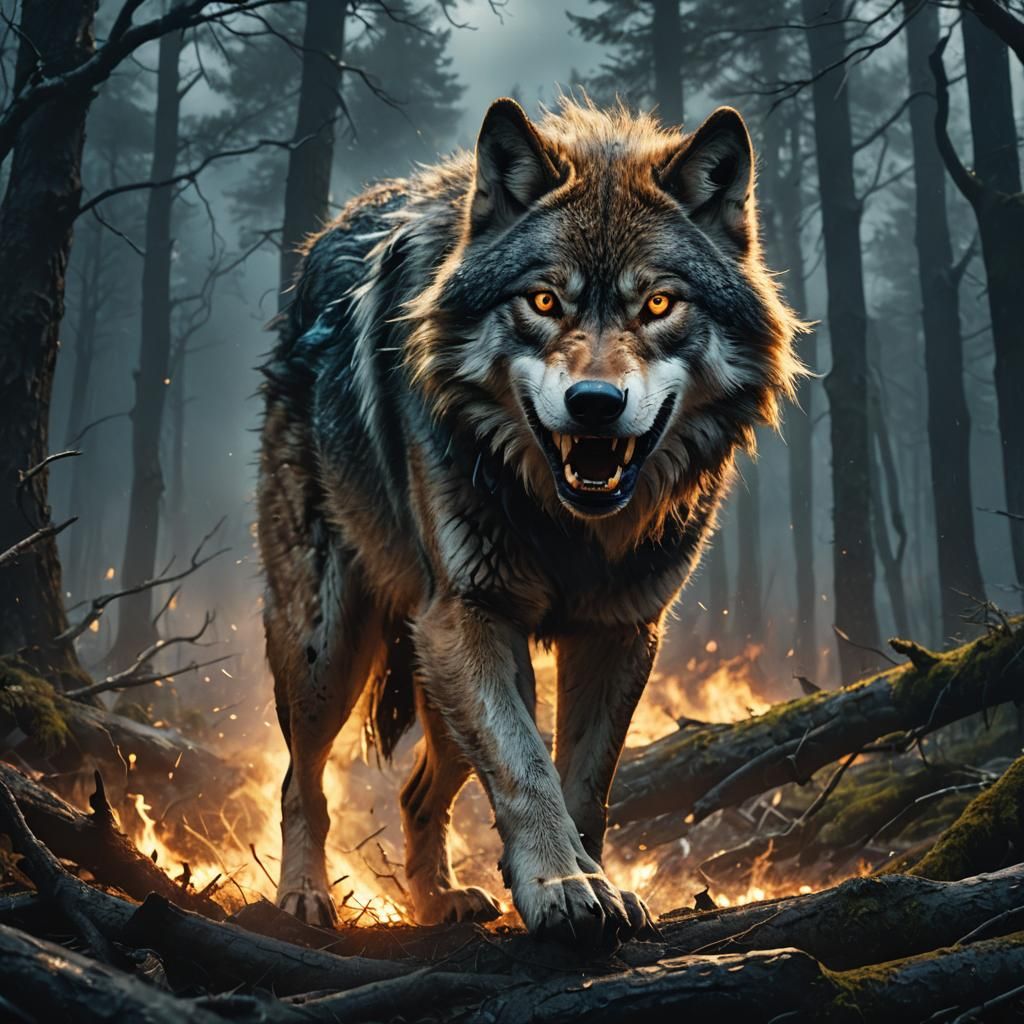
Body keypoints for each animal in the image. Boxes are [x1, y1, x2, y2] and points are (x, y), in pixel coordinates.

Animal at [258, 97, 801, 948]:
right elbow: (524, 768)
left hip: (431, 666)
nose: (595, 404)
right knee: (299, 780)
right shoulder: (471, 615)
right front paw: (563, 888)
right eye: (545, 302)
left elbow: (584, 784)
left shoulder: (619, 632)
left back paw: (438, 901)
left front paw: (595, 886)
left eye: (657, 304)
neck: (568, 527)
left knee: (416, 793)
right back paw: (306, 897)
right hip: (332, 648)